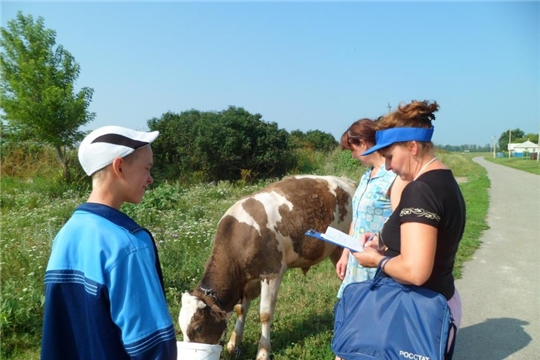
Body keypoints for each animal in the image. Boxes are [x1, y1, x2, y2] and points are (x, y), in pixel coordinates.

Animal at [179, 174, 356, 360]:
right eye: (181, 328)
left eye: (198, 327)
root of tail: (346, 181)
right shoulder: (248, 279)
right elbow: (240, 309)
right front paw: (234, 343)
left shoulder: (272, 272)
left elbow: (265, 313)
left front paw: (263, 351)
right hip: (335, 251)